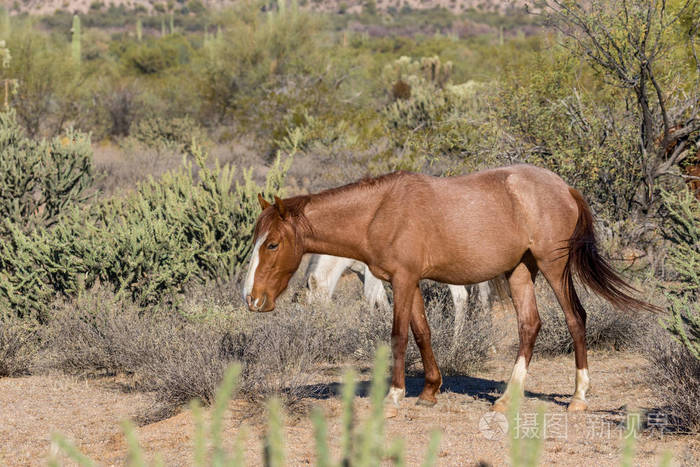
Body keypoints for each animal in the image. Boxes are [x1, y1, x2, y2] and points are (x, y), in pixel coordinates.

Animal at [242, 165, 656, 414]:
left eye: (272, 244)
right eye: (255, 239)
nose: (253, 299)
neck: (380, 212)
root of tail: (564, 187)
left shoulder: (403, 280)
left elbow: (398, 335)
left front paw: (394, 396)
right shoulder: (407, 282)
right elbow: (422, 332)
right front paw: (429, 390)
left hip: (554, 268)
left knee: (575, 318)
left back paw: (578, 397)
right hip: (520, 271)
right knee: (529, 325)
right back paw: (507, 397)